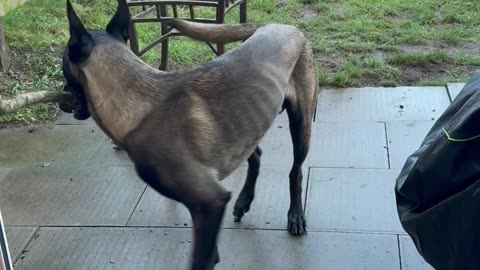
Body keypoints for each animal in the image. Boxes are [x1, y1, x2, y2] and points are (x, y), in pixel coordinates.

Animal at [61, 0, 318, 268]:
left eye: (63, 66)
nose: (62, 95)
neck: (140, 101)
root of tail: (280, 26)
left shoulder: (210, 202)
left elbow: (202, 258)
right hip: (248, 122)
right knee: (255, 154)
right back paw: (244, 200)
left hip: (301, 124)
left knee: (296, 171)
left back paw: (295, 214)